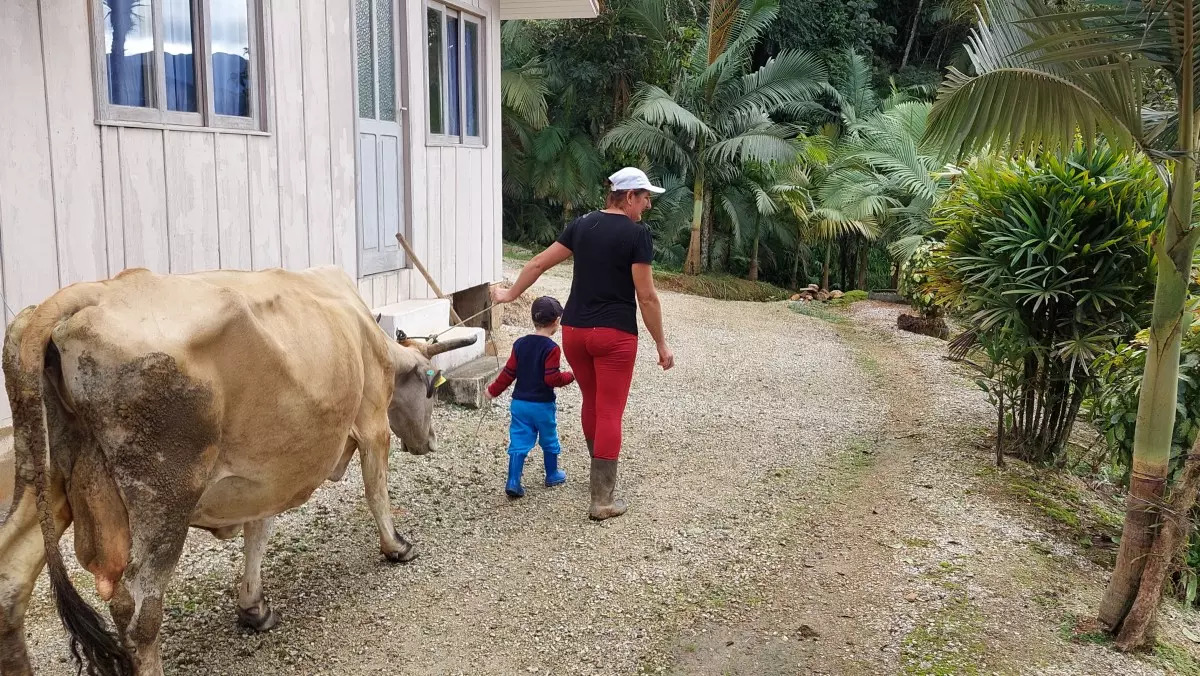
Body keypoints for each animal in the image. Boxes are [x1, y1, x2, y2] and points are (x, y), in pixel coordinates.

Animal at [0, 265, 475, 676]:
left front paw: (254, 608)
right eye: (431, 391)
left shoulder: (273, 467)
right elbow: (377, 492)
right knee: (137, 610)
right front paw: (397, 547)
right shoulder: (373, 423)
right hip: (164, 498)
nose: (431, 441)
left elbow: (258, 533)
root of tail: (88, 293)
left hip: (42, 476)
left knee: (10, 583)